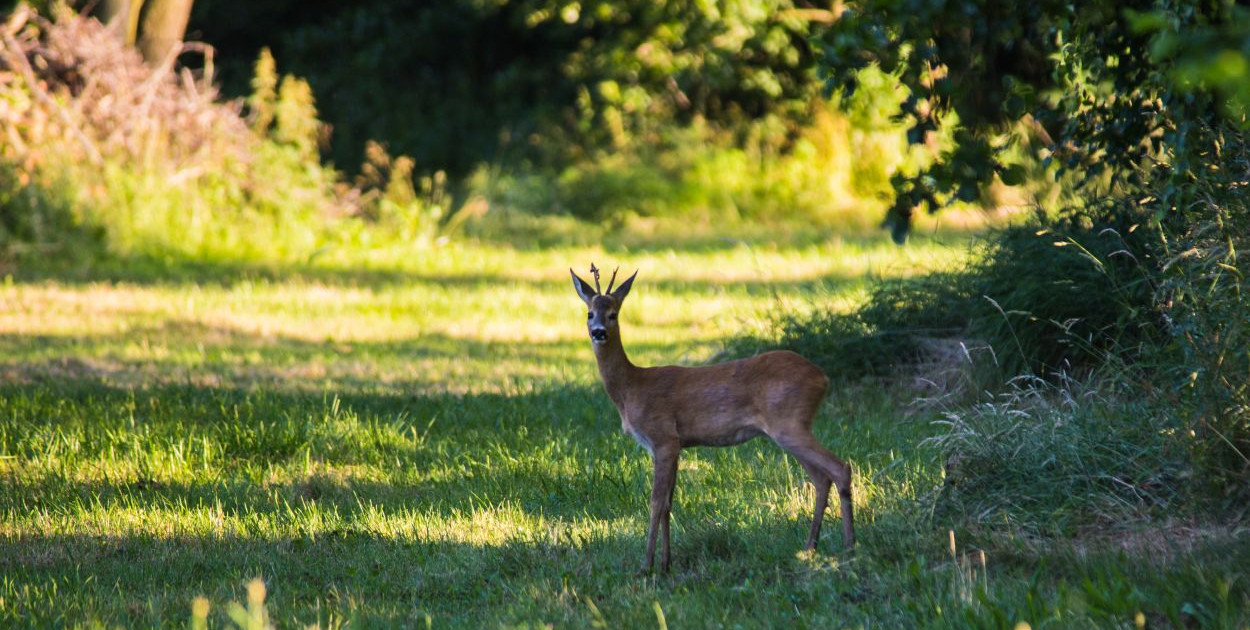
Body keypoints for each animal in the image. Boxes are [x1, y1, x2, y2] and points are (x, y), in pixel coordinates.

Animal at [572, 263, 855, 572]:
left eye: (613, 314)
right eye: (589, 314)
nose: (599, 332)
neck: (631, 387)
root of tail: (823, 378)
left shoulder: (663, 437)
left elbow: (656, 502)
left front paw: (647, 565)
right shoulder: (675, 445)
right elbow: (668, 503)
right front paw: (666, 563)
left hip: (789, 423)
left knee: (840, 467)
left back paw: (849, 546)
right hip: (791, 428)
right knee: (821, 477)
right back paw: (810, 547)